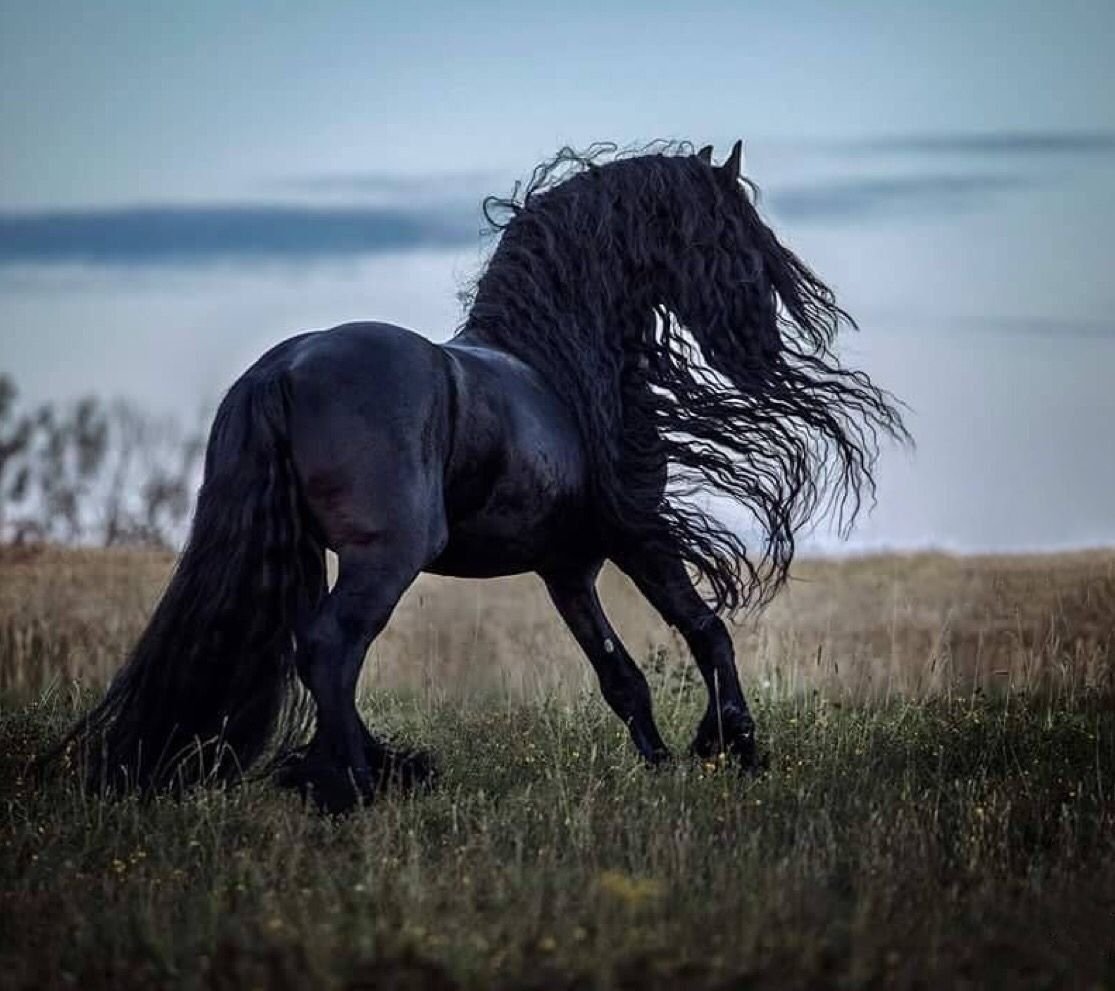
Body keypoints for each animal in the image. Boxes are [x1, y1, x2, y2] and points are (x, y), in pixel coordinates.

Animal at [49, 141, 906, 813]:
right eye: (729, 234)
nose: (762, 337)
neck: (559, 361)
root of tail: (283, 369)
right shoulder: (636, 534)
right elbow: (705, 628)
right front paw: (733, 745)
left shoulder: (566, 565)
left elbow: (619, 673)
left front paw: (663, 765)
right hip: (386, 553)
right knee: (330, 646)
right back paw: (356, 786)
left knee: (309, 648)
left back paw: (367, 770)